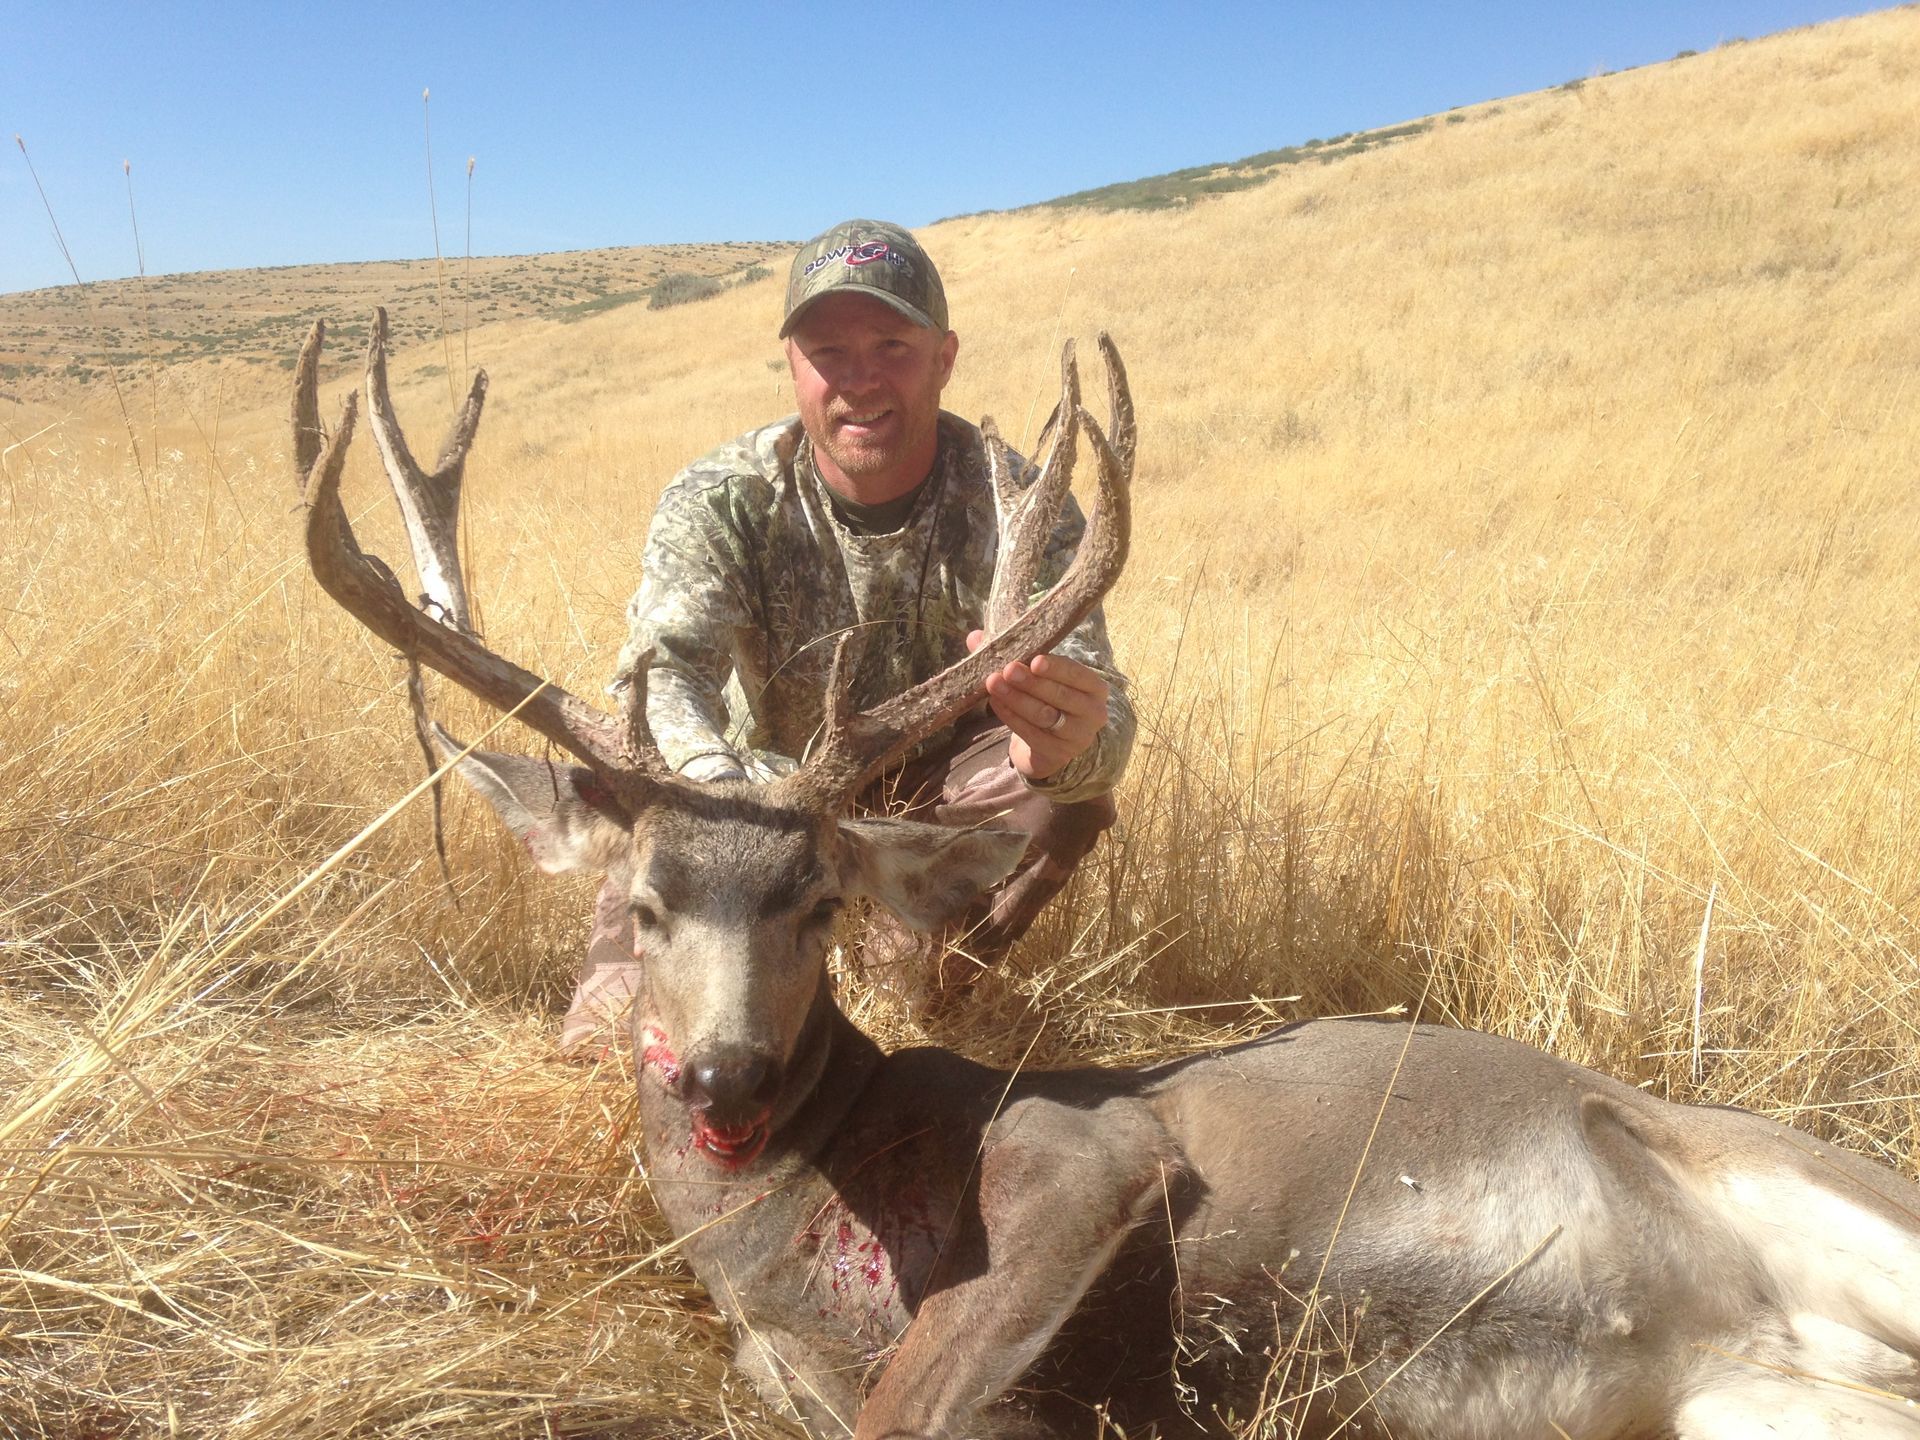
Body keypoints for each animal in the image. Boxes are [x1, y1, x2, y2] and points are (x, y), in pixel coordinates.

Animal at [293, 311, 1920, 1439]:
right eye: (643, 907)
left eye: (819, 906)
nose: (723, 1075)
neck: (800, 1234)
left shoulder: (1085, 1157)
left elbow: (910, 1400)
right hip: (1749, 1400)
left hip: (1826, 1194)